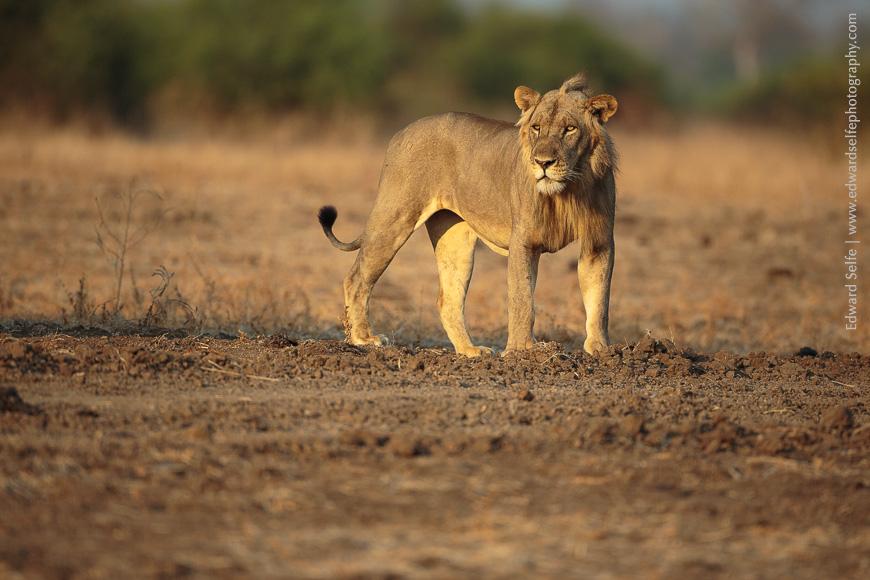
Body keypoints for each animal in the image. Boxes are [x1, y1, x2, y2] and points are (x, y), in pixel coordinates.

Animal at [318, 71, 617, 356]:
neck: (570, 189)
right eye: (537, 128)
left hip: (454, 238)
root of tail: (402, 131)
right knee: (357, 279)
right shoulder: (523, 241)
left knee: (447, 300)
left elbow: (599, 299)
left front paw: (601, 349)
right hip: (395, 216)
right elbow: (522, 300)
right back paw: (364, 339)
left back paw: (470, 351)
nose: (543, 163)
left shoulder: (599, 242)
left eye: (570, 129)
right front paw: (520, 350)